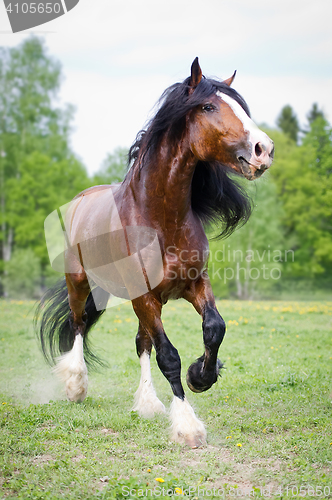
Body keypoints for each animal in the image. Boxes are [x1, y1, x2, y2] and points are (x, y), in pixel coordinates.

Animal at [37, 57, 274, 446]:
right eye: (208, 107)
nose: (263, 149)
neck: (160, 219)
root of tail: (81, 199)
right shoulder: (144, 296)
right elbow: (169, 356)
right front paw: (188, 426)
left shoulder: (192, 285)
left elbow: (214, 328)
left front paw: (201, 375)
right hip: (81, 283)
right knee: (78, 325)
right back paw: (76, 386)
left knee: (140, 342)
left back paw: (147, 403)